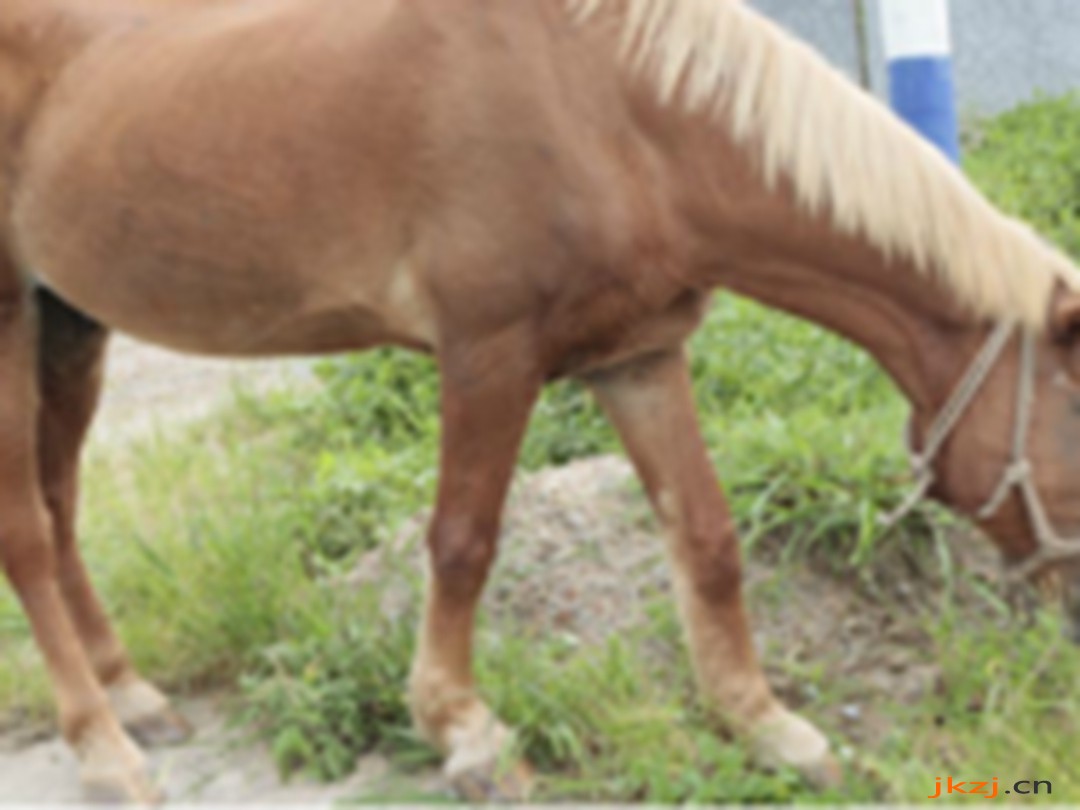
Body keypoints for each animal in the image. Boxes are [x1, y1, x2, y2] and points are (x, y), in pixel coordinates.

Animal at [2, 0, 1080, 802]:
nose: (1073, 632)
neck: (610, 111)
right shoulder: (487, 355)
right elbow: (463, 542)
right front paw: (464, 730)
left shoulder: (640, 357)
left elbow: (707, 538)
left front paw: (764, 724)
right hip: (13, 321)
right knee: (27, 534)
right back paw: (102, 748)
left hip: (71, 324)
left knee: (60, 510)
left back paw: (132, 694)